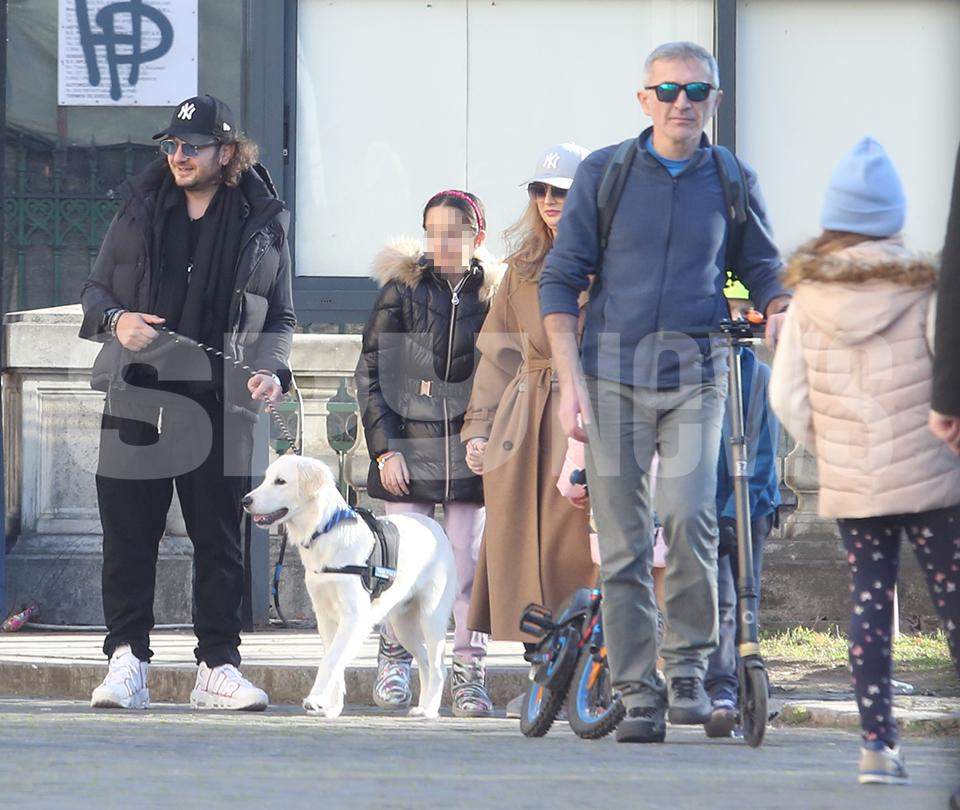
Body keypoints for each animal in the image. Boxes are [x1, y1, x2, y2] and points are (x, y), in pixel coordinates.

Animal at [246, 458, 460, 716]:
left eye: (280, 481)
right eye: (267, 478)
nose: (245, 501)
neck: (326, 531)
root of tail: (437, 528)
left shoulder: (354, 617)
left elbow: (330, 660)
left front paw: (316, 698)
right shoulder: (325, 617)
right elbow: (334, 658)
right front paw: (331, 706)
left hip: (431, 616)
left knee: (438, 666)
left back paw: (429, 710)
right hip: (403, 624)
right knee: (426, 663)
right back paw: (424, 706)